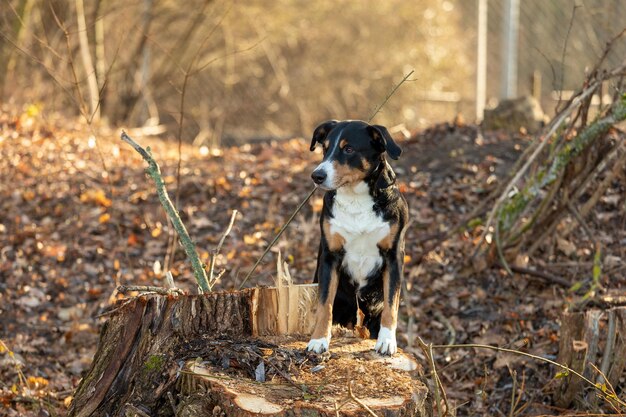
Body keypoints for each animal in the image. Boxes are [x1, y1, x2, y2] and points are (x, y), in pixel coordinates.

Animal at [304, 118, 408, 354]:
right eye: (325, 149)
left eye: (348, 149)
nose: (317, 176)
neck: (356, 199)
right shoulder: (330, 257)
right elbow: (325, 304)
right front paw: (318, 340)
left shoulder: (393, 257)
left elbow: (391, 305)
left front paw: (387, 341)